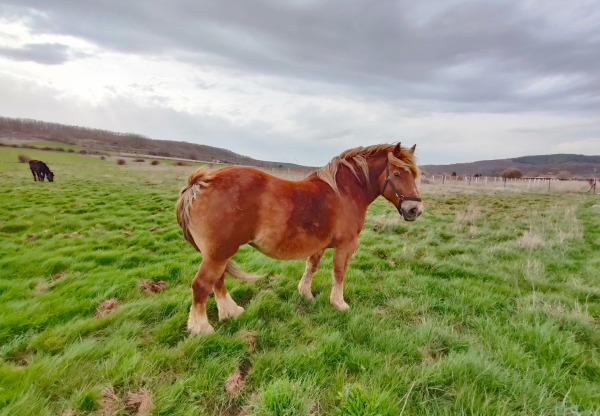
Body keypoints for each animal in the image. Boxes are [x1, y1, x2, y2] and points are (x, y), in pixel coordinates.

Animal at [176, 142, 424, 334]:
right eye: (397, 174)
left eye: (414, 175)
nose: (415, 210)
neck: (344, 192)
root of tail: (199, 184)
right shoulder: (345, 245)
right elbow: (339, 273)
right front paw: (339, 303)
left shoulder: (319, 245)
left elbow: (311, 267)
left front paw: (305, 294)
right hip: (219, 254)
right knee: (201, 285)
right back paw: (202, 329)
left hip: (219, 254)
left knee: (217, 282)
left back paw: (231, 312)